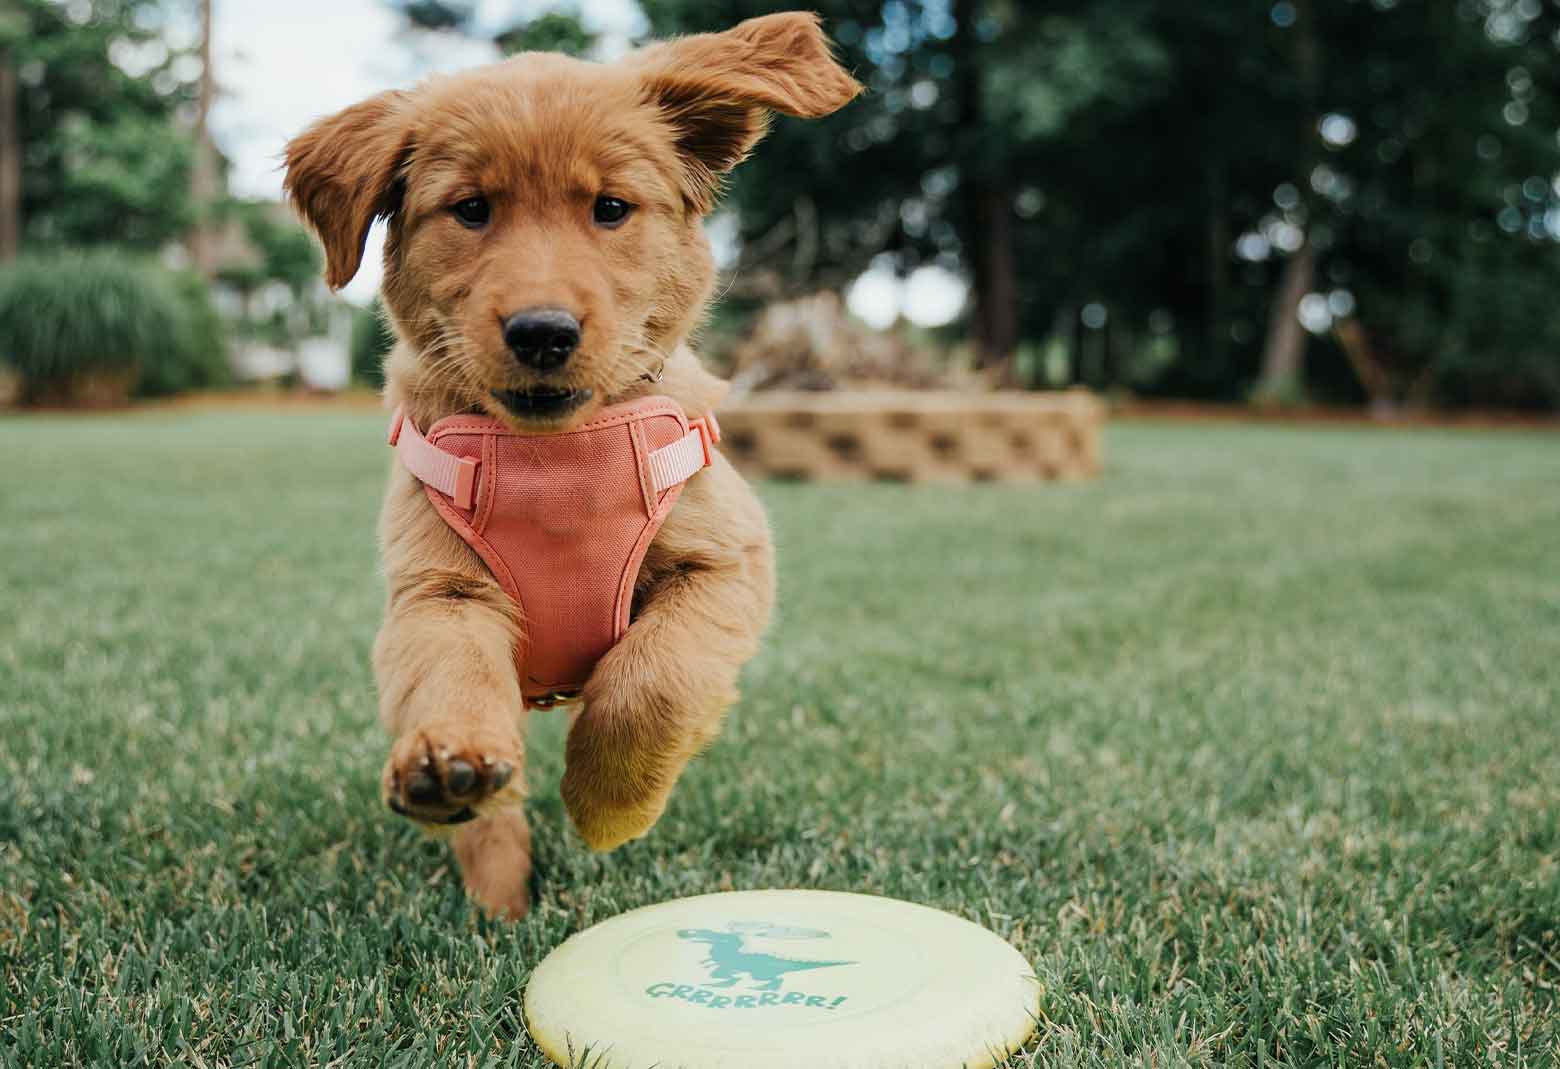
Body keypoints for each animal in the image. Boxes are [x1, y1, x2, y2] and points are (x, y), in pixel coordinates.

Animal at [283, 12, 867, 917]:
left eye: (611, 208)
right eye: (471, 209)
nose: (542, 332)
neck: (556, 458)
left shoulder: (725, 562)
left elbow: (651, 680)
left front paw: (607, 804)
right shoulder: (437, 590)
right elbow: (450, 669)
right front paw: (448, 760)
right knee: (496, 805)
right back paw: (495, 885)